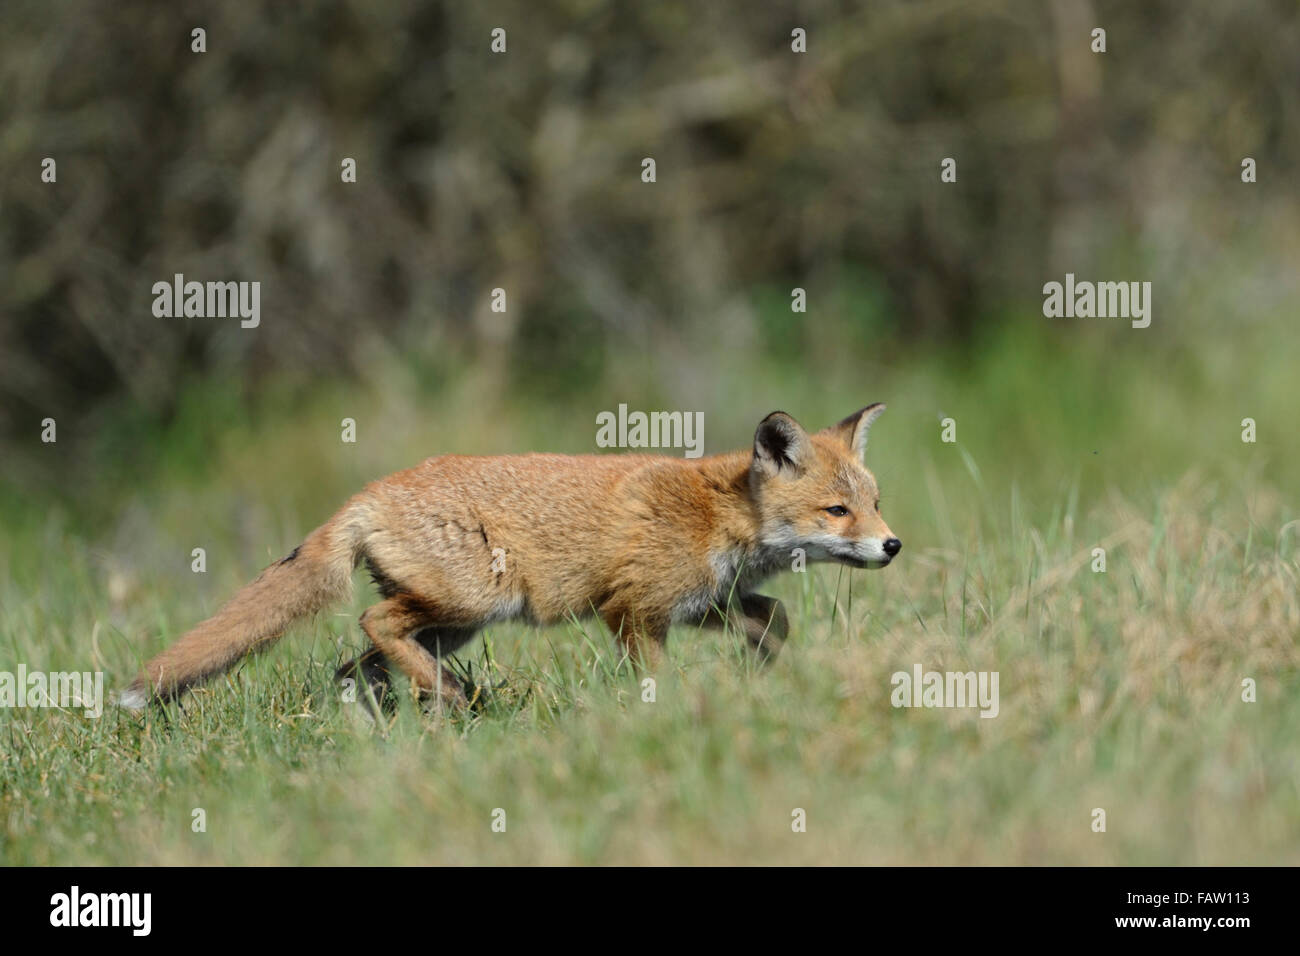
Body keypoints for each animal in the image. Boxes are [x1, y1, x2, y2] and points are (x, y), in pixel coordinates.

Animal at [116, 403, 899, 712]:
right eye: (838, 512)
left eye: (876, 501)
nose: (892, 545)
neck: (718, 514)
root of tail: (367, 494)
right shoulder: (633, 610)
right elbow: (658, 683)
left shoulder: (701, 602)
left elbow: (776, 620)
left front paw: (758, 677)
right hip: (472, 603)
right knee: (373, 625)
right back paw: (449, 700)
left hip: (454, 624)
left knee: (358, 665)